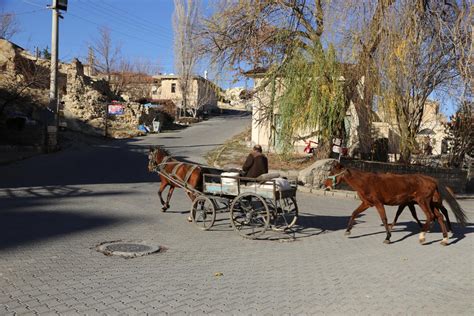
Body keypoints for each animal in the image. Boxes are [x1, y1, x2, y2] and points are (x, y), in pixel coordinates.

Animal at [326, 163, 466, 247]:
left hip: (423, 202)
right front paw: (348, 231)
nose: (325, 185)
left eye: (331, 172)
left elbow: (384, 219)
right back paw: (444, 239)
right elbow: (354, 213)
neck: (366, 182)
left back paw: (422, 236)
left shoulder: (378, 203)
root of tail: (432, 180)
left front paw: (388, 237)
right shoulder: (367, 203)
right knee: (439, 216)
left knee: (431, 216)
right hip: (431, 203)